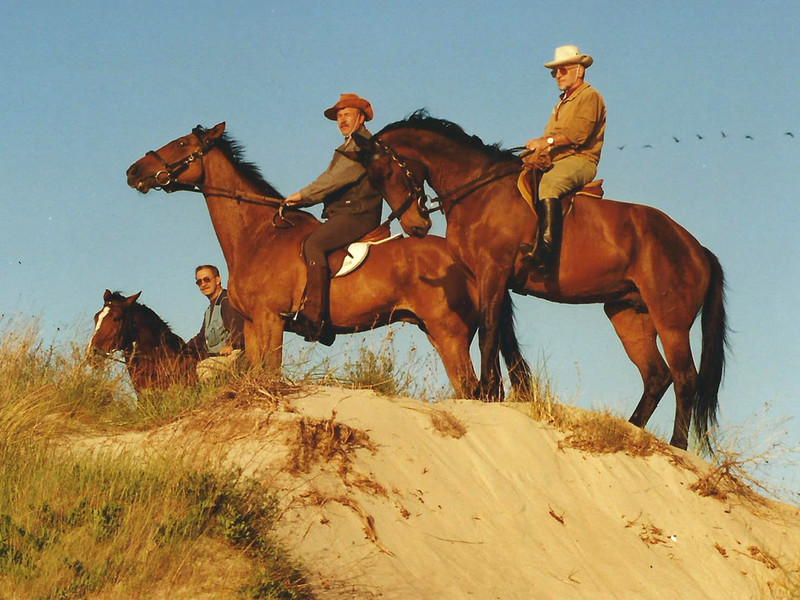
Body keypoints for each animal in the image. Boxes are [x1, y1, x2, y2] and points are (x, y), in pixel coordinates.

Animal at [123, 122, 532, 398]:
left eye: (181, 143)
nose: (133, 171)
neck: (258, 233)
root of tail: (466, 259)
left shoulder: (271, 321)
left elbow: (271, 374)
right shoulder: (254, 326)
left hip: (450, 334)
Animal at [354, 112, 728, 450]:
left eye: (387, 172)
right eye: (374, 179)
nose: (415, 226)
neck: (480, 190)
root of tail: (696, 248)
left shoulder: (493, 271)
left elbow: (489, 334)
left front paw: (485, 393)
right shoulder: (487, 279)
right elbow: (502, 339)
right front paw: (497, 393)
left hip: (671, 322)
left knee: (684, 377)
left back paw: (677, 443)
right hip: (627, 315)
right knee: (656, 376)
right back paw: (630, 429)